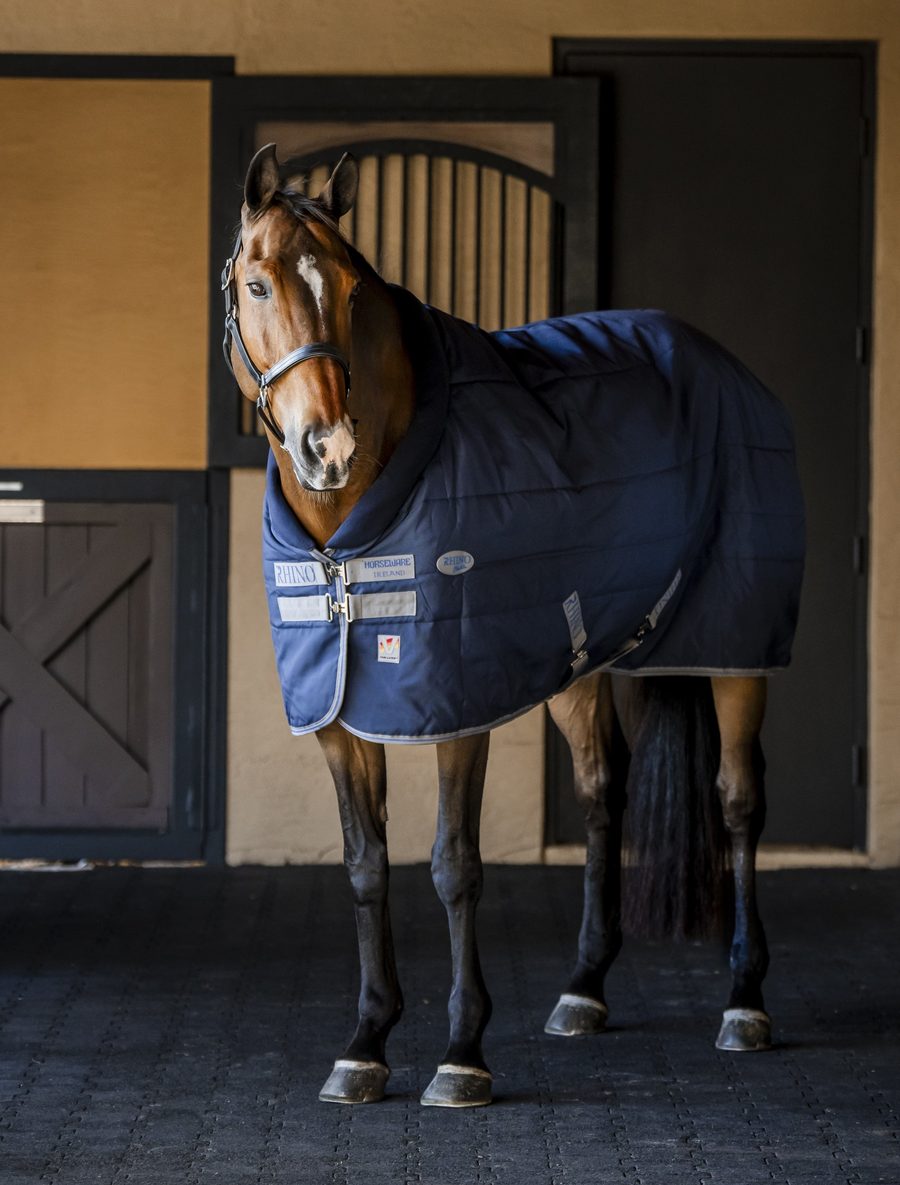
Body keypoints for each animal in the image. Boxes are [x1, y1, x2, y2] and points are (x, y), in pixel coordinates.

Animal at [221, 144, 804, 1108]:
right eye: (258, 284)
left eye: (349, 287)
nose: (326, 446)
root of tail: (723, 365)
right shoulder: (340, 716)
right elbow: (364, 864)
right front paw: (365, 1042)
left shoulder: (459, 707)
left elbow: (454, 864)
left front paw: (462, 1053)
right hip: (583, 667)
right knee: (605, 793)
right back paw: (583, 989)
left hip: (737, 652)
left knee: (739, 800)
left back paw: (745, 1001)